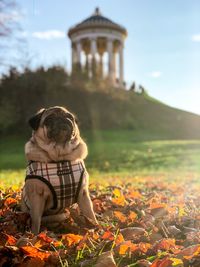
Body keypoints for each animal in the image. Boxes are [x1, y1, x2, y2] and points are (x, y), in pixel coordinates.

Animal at [21, 105, 97, 236]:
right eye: (50, 119)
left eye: (69, 117)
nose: (63, 120)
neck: (59, 159)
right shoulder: (37, 196)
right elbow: (36, 221)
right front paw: (34, 236)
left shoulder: (83, 194)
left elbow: (90, 214)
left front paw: (95, 228)